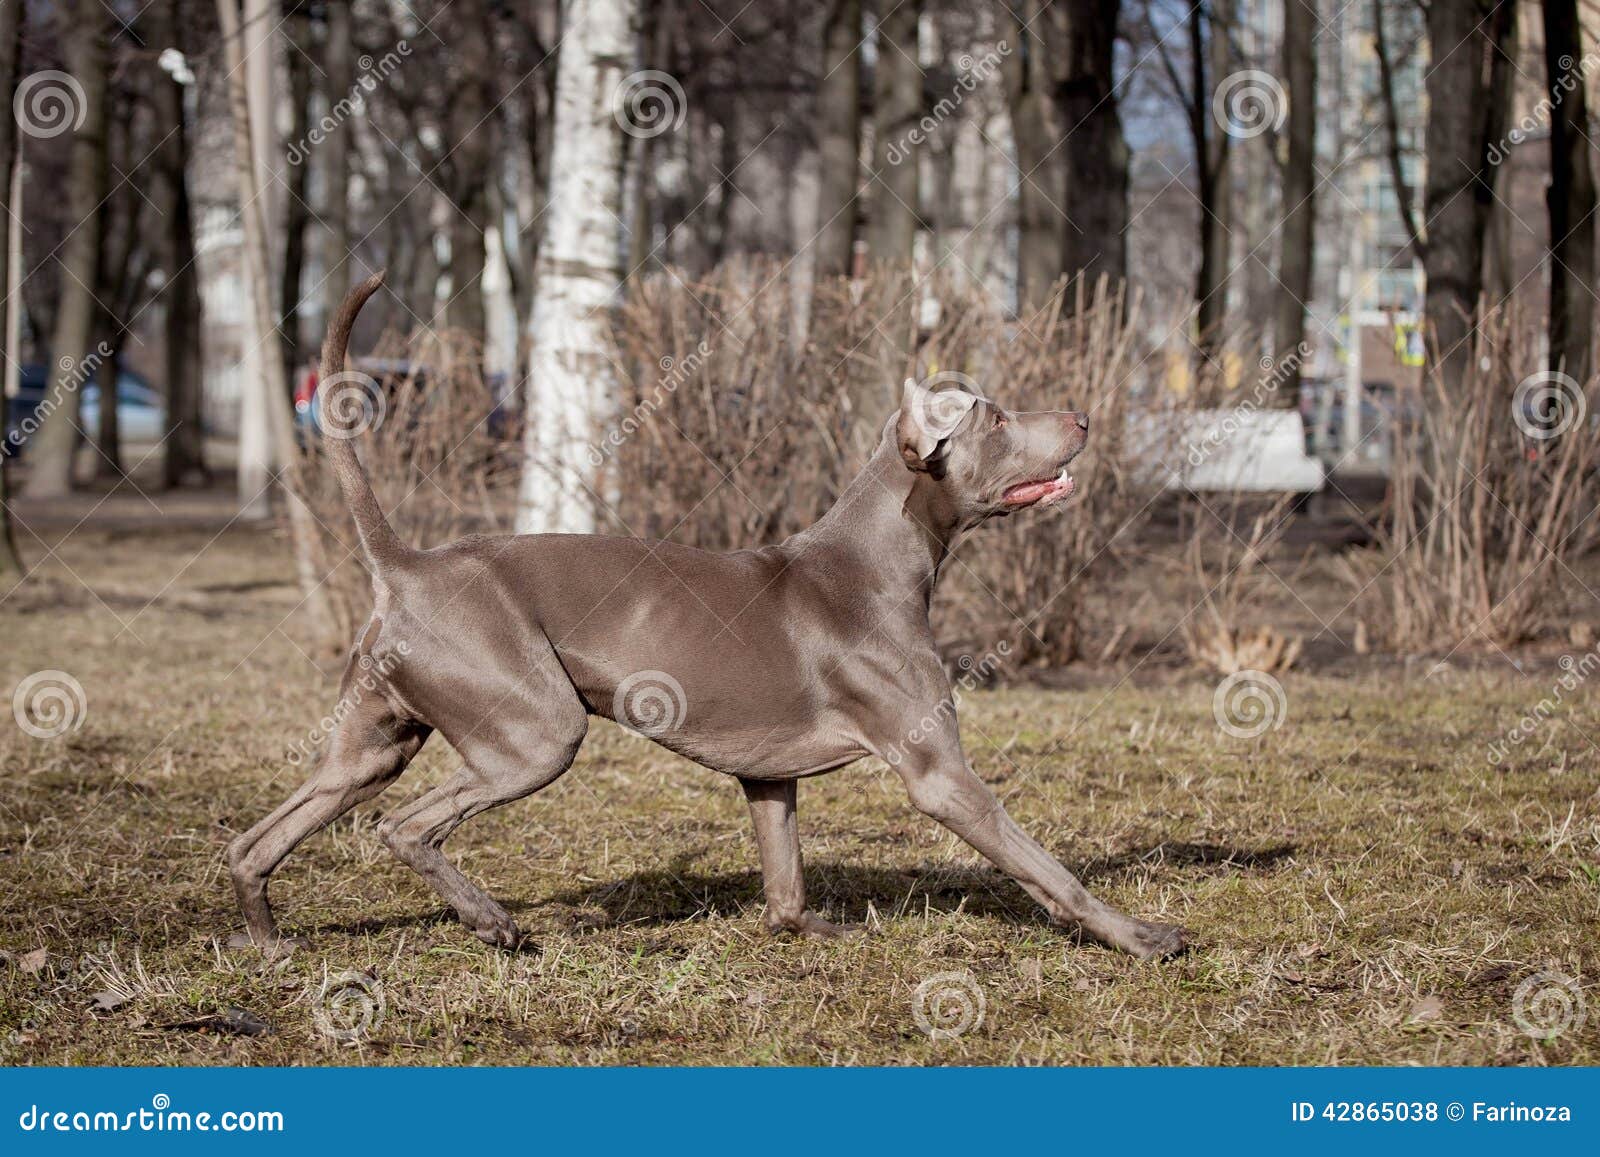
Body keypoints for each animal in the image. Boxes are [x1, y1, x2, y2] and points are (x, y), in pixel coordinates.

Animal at [233, 276, 1190, 966]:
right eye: (993, 417)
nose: (1084, 416)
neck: (882, 558)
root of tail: (410, 564)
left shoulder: (769, 777)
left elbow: (787, 885)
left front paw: (811, 930)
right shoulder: (940, 774)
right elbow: (1047, 868)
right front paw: (1140, 935)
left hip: (373, 742)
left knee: (258, 837)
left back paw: (271, 941)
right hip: (535, 731)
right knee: (404, 826)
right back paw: (491, 921)